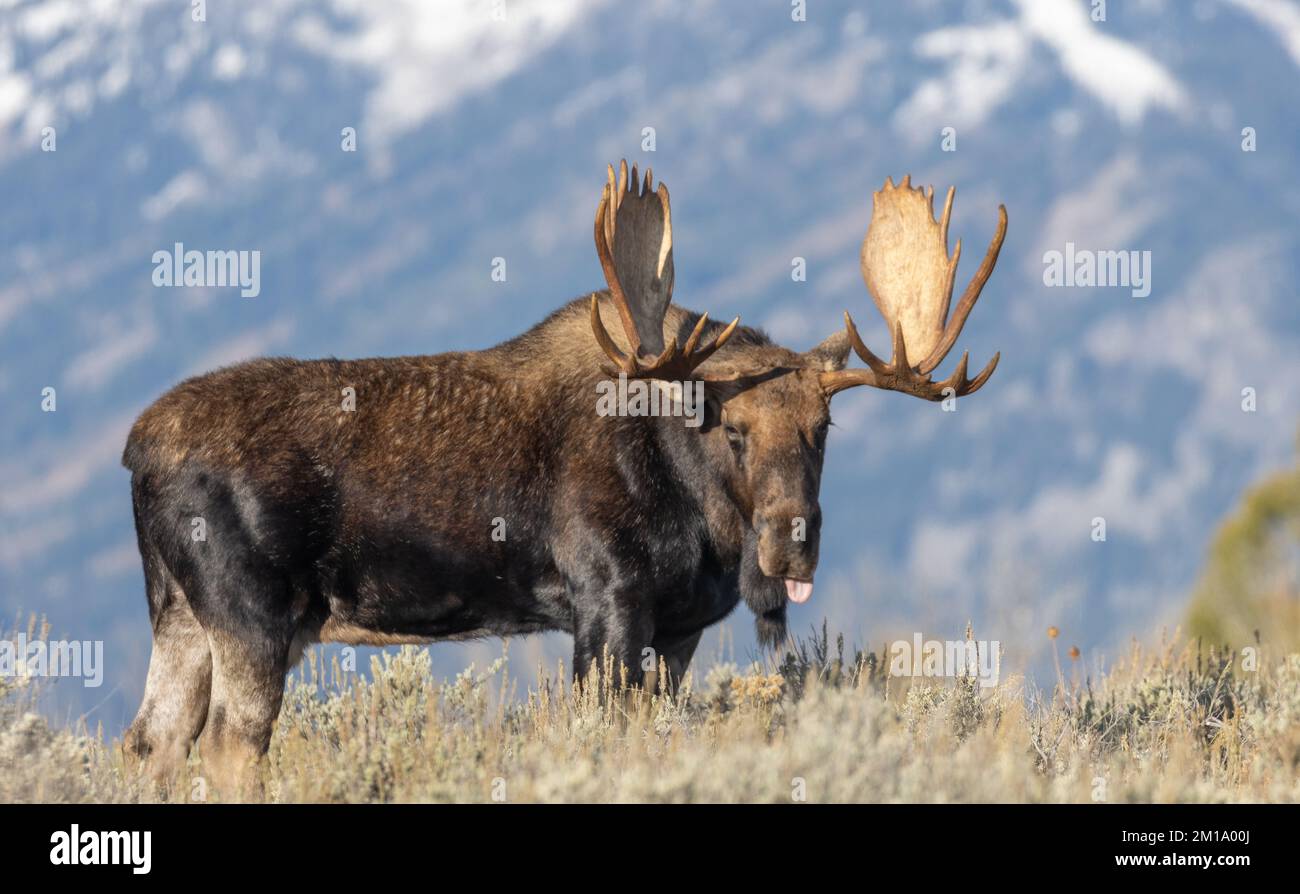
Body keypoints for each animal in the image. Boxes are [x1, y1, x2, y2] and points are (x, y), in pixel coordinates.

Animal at [121, 161, 1005, 788]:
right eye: (735, 431)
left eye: (824, 430)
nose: (792, 542)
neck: (705, 522)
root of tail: (134, 450)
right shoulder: (608, 599)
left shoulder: (678, 629)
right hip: (251, 614)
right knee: (228, 747)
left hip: (180, 614)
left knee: (152, 741)